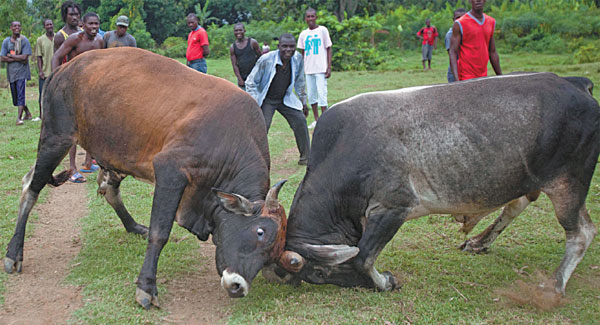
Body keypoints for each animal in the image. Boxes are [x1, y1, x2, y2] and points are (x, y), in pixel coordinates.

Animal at [278, 72, 596, 294]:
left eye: (319, 273)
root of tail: (576, 84)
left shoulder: (394, 206)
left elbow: (362, 258)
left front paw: (385, 283)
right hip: (531, 178)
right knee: (518, 203)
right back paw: (479, 242)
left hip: (568, 183)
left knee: (582, 232)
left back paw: (554, 285)